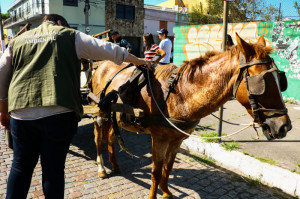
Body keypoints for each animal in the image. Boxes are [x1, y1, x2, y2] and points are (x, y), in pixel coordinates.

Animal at [91, 34, 290, 199]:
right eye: (263, 83)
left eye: (281, 80)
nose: (284, 126)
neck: (180, 94)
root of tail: (101, 65)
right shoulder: (159, 139)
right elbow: (156, 172)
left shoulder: (177, 139)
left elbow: (168, 167)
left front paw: (166, 192)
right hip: (99, 112)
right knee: (98, 137)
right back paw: (101, 167)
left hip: (114, 116)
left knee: (110, 137)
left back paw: (114, 164)